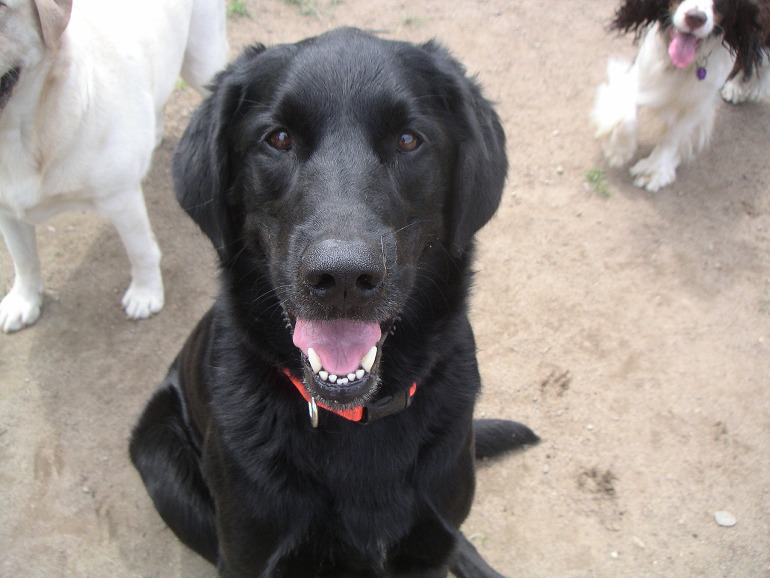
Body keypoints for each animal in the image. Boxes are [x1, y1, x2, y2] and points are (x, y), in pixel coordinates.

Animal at [0, 0, 228, 332]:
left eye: (4, 8)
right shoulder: (7, 209)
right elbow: (23, 259)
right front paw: (24, 301)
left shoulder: (120, 198)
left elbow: (141, 250)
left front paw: (146, 293)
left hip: (202, 59)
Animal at [129, 28, 538, 577]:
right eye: (278, 139)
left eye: (409, 140)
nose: (342, 276)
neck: (356, 423)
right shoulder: (248, 555)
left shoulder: (428, 542)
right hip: (159, 460)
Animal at [591, 0, 770, 192]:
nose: (695, 18)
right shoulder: (644, 70)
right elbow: (625, 114)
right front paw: (618, 150)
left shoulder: (700, 100)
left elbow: (675, 135)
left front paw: (654, 170)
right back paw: (737, 87)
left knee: (759, 57)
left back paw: (744, 87)